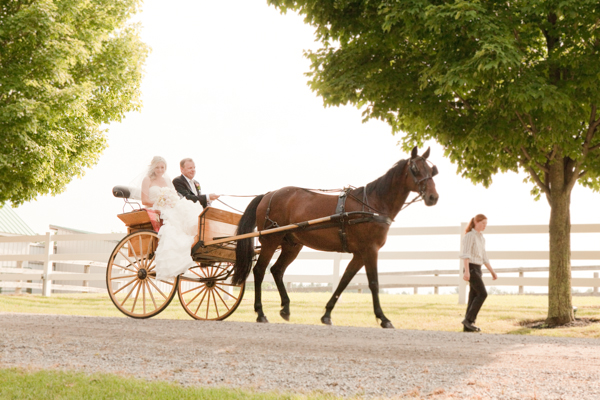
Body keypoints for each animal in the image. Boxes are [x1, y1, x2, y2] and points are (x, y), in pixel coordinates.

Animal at [232, 147, 438, 328]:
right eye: (415, 169)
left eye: (432, 171)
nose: (433, 197)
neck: (371, 205)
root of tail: (269, 194)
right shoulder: (370, 250)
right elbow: (373, 283)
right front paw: (384, 318)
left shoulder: (359, 254)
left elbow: (344, 280)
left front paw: (327, 315)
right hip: (270, 241)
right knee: (259, 271)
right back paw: (260, 313)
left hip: (292, 245)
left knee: (277, 270)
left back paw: (286, 308)